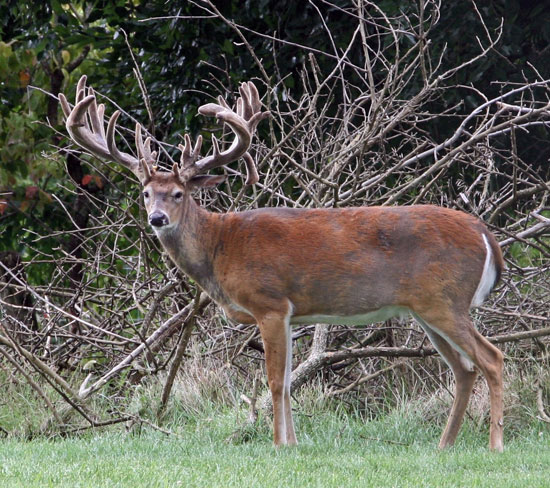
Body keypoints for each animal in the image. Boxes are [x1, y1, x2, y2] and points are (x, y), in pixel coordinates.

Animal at [58, 74, 506, 452]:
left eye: (179, 194)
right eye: (146, 192)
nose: (156, 219)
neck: (220, 247)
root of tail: (485, 233)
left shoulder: (270, 303)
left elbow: (274, 381)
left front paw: (277, 444)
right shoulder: (292, 314)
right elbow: (290, 382)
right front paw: (292, 443)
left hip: (445, 299)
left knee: (491, 358)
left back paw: (494, 444)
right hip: (427, 308)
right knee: (464, 369)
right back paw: (444, 445)